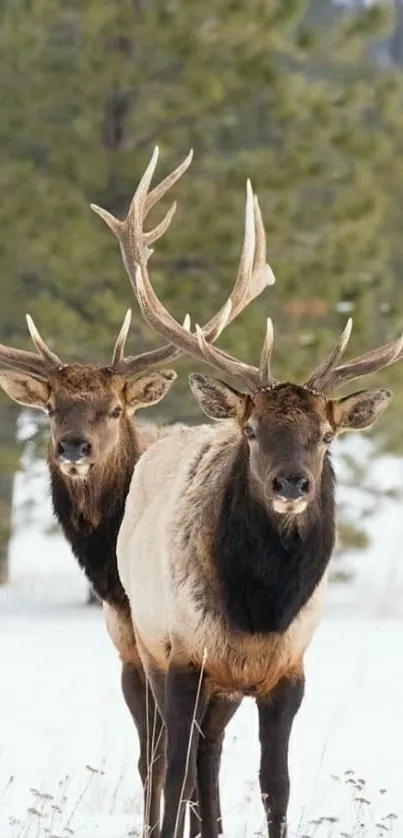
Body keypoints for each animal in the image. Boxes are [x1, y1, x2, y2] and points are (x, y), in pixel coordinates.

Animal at [0, 148, 274, 836]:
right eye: (50, 408)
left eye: (116, 408)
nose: (74, 447)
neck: (108, 575)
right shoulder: (127, 637)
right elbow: (155, 752)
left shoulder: (154, 639)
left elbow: (165, 753)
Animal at [94, 158, 403, 838]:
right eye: (253, 430)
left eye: (325, 436)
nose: (292, 483)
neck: (259, 610)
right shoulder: (182, 654)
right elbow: (175, 773)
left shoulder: (287, 670)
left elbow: (274, 785)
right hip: (146, 644)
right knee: (167, 759)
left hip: (225, 690)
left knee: (207, 759)